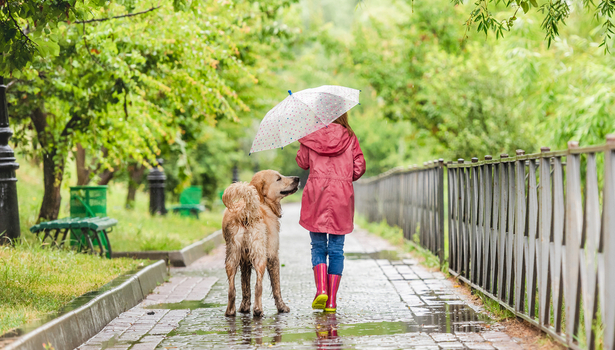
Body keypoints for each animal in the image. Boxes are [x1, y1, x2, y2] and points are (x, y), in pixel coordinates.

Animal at [223, 170, 300, 318]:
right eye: (279, 178)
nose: (298, 178)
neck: (262, 201)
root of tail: (245, 211)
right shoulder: (273, 255)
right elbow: (276, 287)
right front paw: (282, 307)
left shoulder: (244, 261)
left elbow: (245, 286)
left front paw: (244, 308)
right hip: (260, 256)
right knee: (258, 286)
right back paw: (258, 310)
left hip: (232, 256)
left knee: (232, 288)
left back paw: (230, 311)